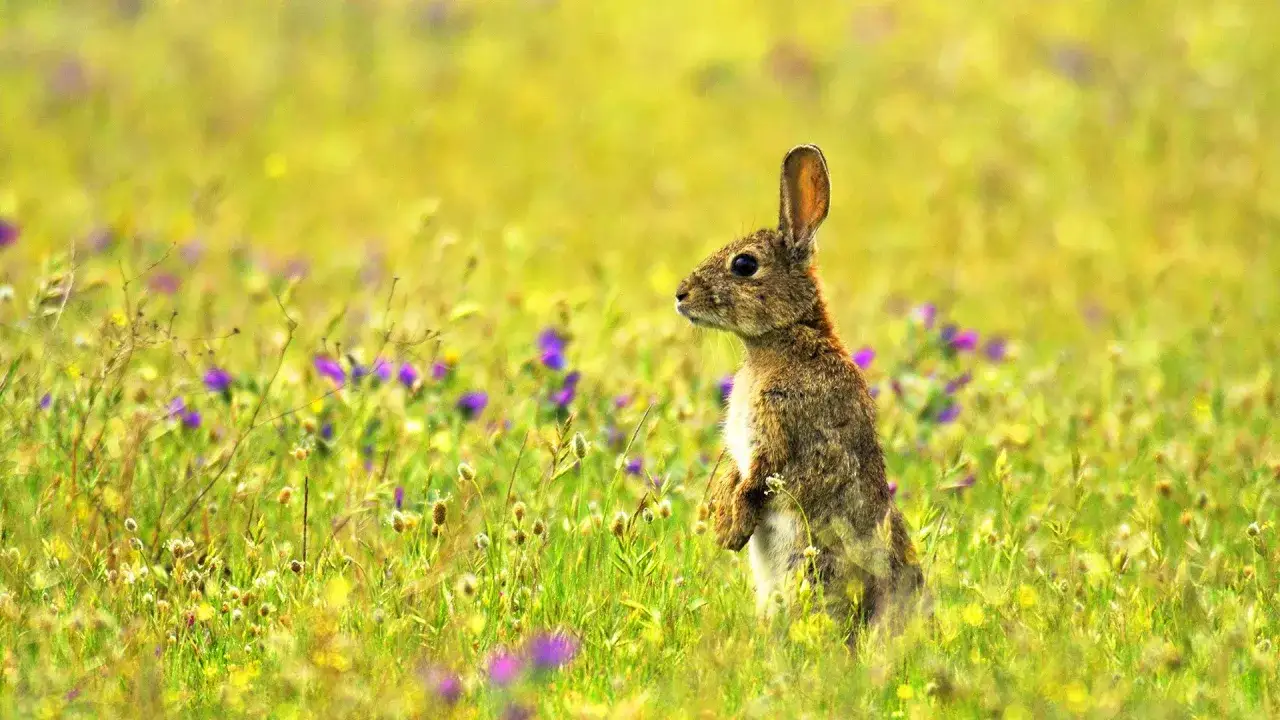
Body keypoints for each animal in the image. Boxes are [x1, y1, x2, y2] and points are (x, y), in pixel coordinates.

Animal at [675, 144, 925, 639]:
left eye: (744, 265)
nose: (680, 294)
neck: (786, 337)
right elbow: (735, 474)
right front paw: (723, 523)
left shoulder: (783, 428)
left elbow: (757, 480)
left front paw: (731, 531)